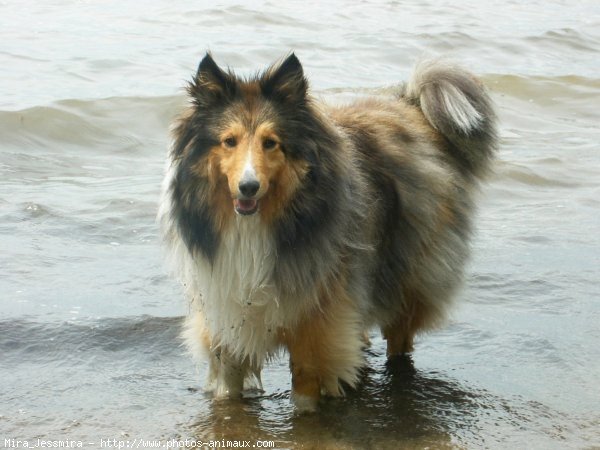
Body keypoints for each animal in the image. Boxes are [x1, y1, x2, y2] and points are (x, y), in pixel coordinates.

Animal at [157, 52, 494, 412]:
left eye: (271, 143)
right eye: (229, 141)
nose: (248, 187)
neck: (255, 226)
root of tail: (410, 106)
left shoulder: (317, 321)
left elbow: (306, 387)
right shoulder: (227, 310)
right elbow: (228, 386)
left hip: (408, 274)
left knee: (399, 337)